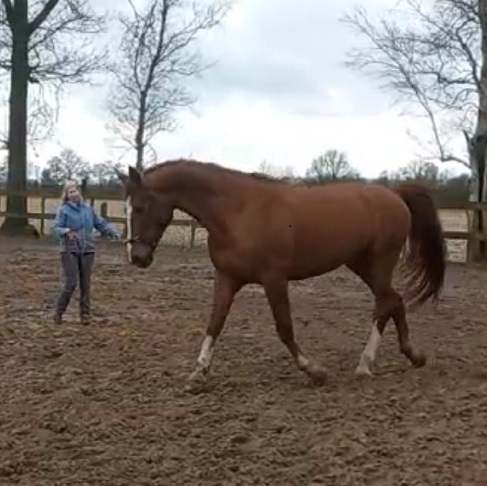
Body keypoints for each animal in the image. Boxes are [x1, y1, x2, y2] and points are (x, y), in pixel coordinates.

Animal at [117, 159, 446, 388]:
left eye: (141, 207)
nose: (138, 257)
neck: (237, 212)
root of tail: (394, 194)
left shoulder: (274, 279)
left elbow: (284, 328)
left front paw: (315, 371)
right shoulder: (227, 278)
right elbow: (215, 324)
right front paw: (199, 373)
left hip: (379, 262)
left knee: (385, 304)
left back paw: (366, 364)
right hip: (361, 264)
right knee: (395, 301)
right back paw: (412, 355)